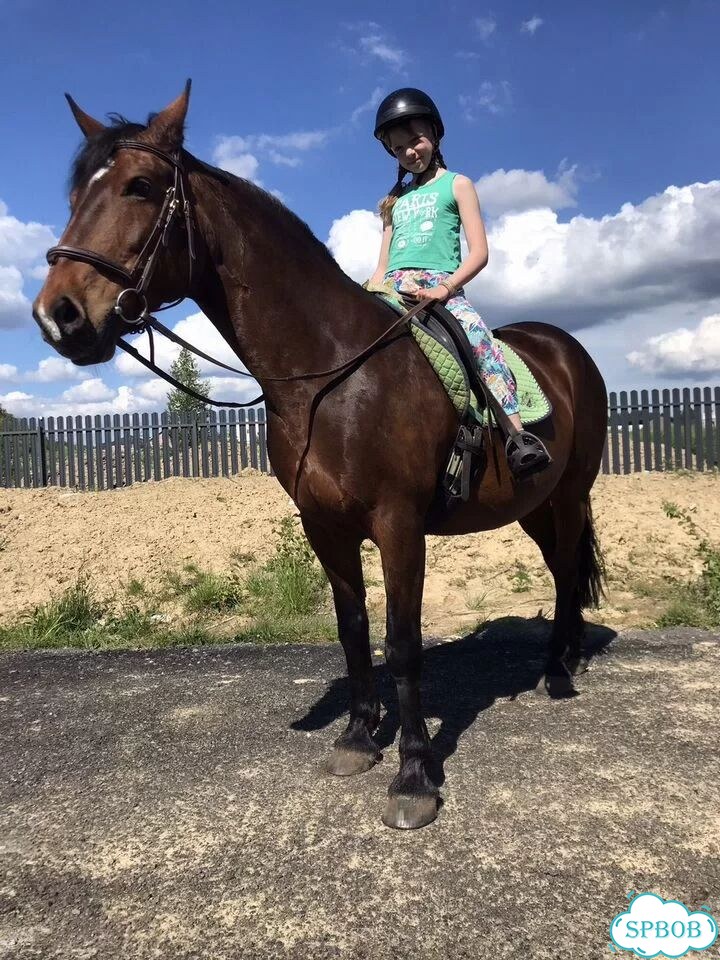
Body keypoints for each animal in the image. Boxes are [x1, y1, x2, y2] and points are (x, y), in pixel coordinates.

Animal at [33, 83, 608, 830]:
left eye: (139, 186)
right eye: (77, 195)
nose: (58, 316)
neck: (330, 375)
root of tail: (565, 347)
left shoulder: (398, 524)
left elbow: (401, 641)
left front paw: (415, 777)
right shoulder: (323, 525)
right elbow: (353, 628)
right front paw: (359, 740)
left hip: (569, 492)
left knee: (567, 571)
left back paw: (561, 673)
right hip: (532, 504)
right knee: (561, 567)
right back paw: (559, 659)